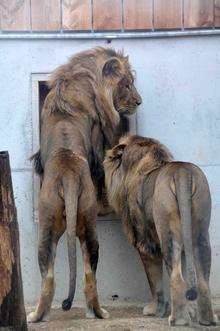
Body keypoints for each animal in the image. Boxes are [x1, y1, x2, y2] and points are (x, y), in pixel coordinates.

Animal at [27, 48, 142, 322]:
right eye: (127, 84)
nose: (139, 101)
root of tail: (68, 176)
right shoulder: (98, 137)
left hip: (50, 231)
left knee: (51, 277)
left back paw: (38, 316)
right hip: (86, 226)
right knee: (89, 275)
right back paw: (96, 312)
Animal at [104, 136, 217, 328]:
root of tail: (182, 172)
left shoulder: (145, 242)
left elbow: (154, 281)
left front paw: (154, 310)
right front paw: (190, 310)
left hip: (167, 234)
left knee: (177, 278)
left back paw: (177, 320)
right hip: (201, 231)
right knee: (202, 280)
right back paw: (207, 320)